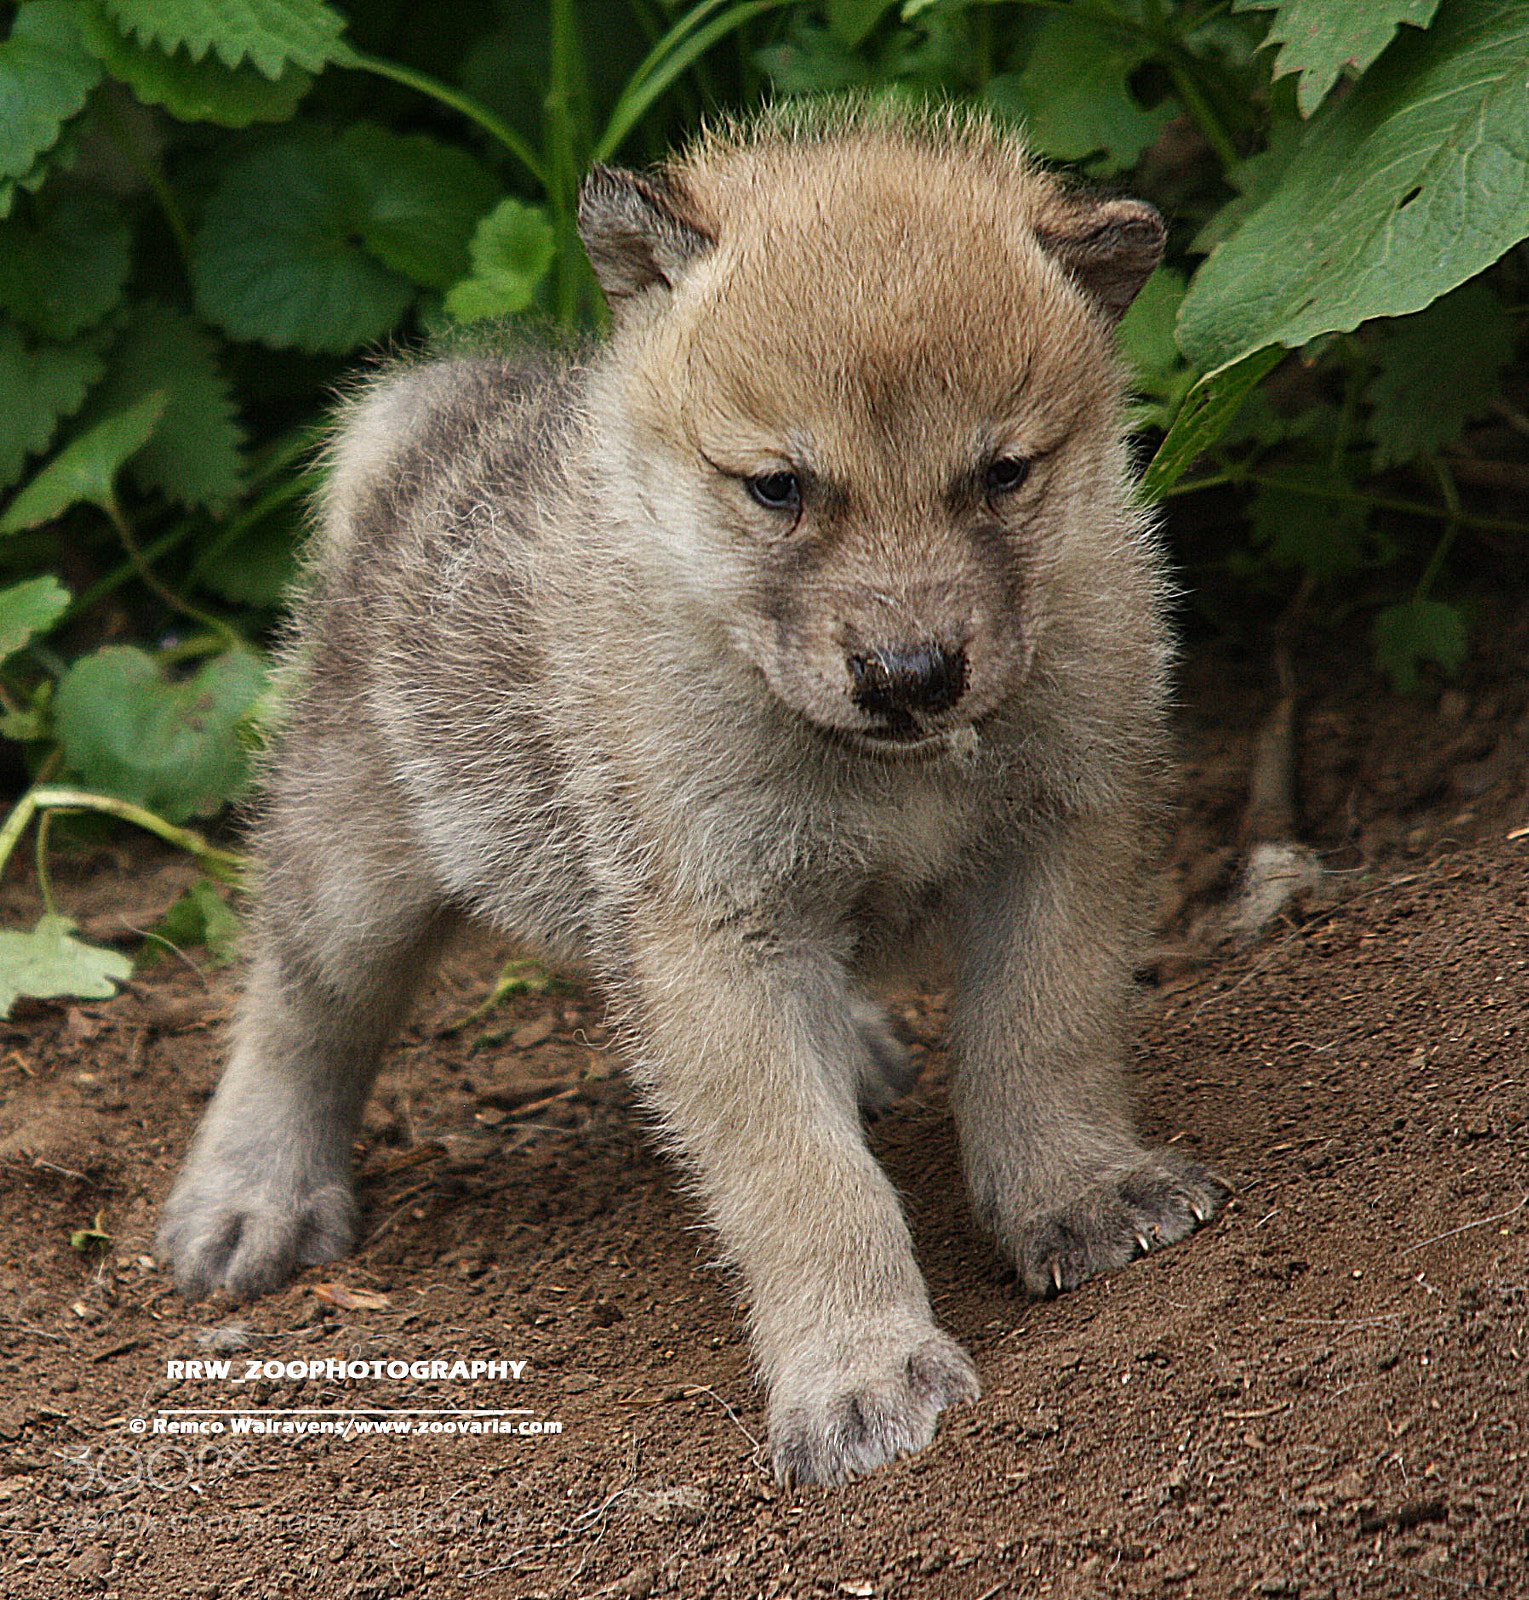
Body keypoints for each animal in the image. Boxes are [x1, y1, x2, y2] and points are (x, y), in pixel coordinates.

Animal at [158, 104, 1228, 1485]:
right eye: (777, 486)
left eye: (1001, 474)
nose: (910, 676)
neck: (890, 775)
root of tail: (438, 421)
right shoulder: (712, 930)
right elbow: (801, 1175)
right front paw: (859, 1370)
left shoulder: (1063, 839)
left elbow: (1043, 1037)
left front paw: (1079, 1191)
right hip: (357, 856)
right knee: (299, 1011)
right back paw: (251, 1197)